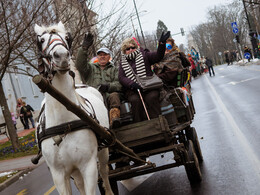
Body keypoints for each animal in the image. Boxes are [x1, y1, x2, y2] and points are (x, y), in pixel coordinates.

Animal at [34, 21, 113, 195]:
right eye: (41, 40)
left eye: (67, 38)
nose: (62, 56)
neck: (65, 122)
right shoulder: (58, 174)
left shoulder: (89, 166)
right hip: (74, 170)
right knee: (80, 183)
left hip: (103, 150)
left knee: (105, 173)